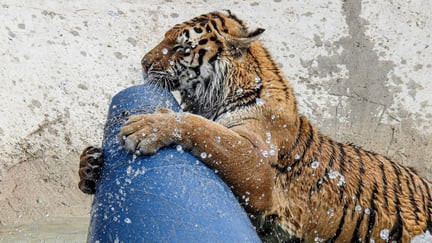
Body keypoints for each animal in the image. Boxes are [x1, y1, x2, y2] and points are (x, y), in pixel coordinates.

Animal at [79, 9, 432, 243]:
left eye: (180, 47)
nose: (143, 63)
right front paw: (90, 163)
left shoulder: (258, 165)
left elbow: (204, 128)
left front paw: (148, 126)